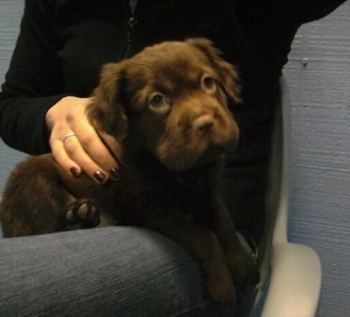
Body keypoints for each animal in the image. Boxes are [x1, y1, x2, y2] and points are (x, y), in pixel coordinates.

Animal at [0, 38, 260, 302]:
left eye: (208, 82)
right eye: (157, 100)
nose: (205, 123)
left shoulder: (207, 191)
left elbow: (224, 222)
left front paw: (244, 267)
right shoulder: (148, 207)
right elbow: (202, 235)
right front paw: (222, 283)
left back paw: (82, 214)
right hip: (33, 180)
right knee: (45, 228)